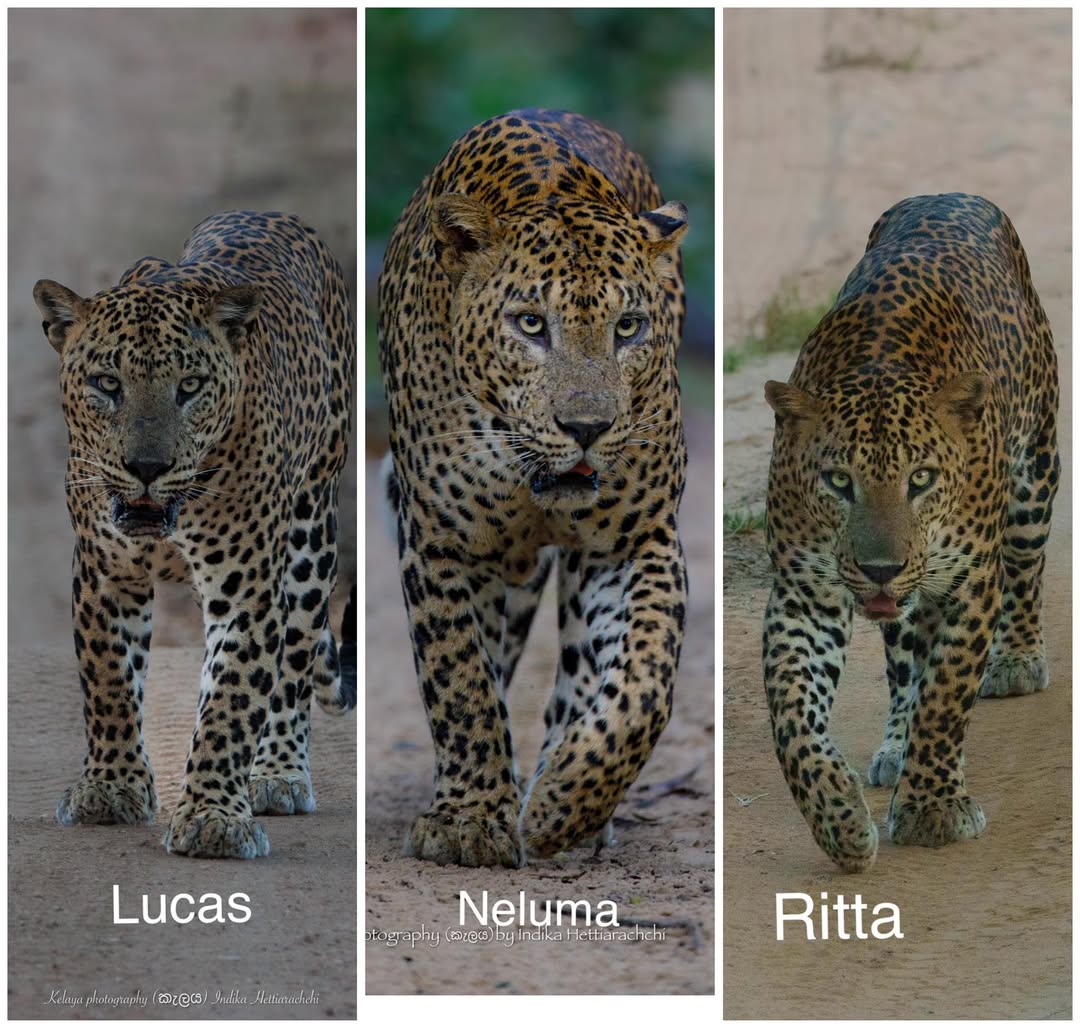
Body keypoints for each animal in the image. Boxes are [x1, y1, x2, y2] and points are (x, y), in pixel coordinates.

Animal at [34, 210, 356, 859]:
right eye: (106, 383)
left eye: (190, 386)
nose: (147, 468)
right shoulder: (104, 573)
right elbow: (109, 679)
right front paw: (110, 788)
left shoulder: (248, 588)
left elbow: (232, 699)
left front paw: (214, 818)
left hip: (313, 535)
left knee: (295, 664)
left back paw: (277, 774)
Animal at [378, 108, 689, 867]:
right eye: (529, 324)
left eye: (628, 327)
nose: (587, 428)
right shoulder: (438, 542)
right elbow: (460, 679)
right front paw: (467, 819)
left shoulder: (637, 538)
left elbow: (644, 683)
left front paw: (562, 803)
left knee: (580, 671)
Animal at [763, 193, 1059, 871]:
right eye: (838, 481)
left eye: (921, 478)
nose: (881, 569)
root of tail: (949, 194)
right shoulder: (803, 593)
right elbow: (793, 712)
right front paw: (839, 819)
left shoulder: (970, 582)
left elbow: (948, 695)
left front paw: (932, 810)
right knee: (903, 665)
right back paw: (896, 746)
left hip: (1035, 478)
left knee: (1026, 572)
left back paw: (1018, 660)